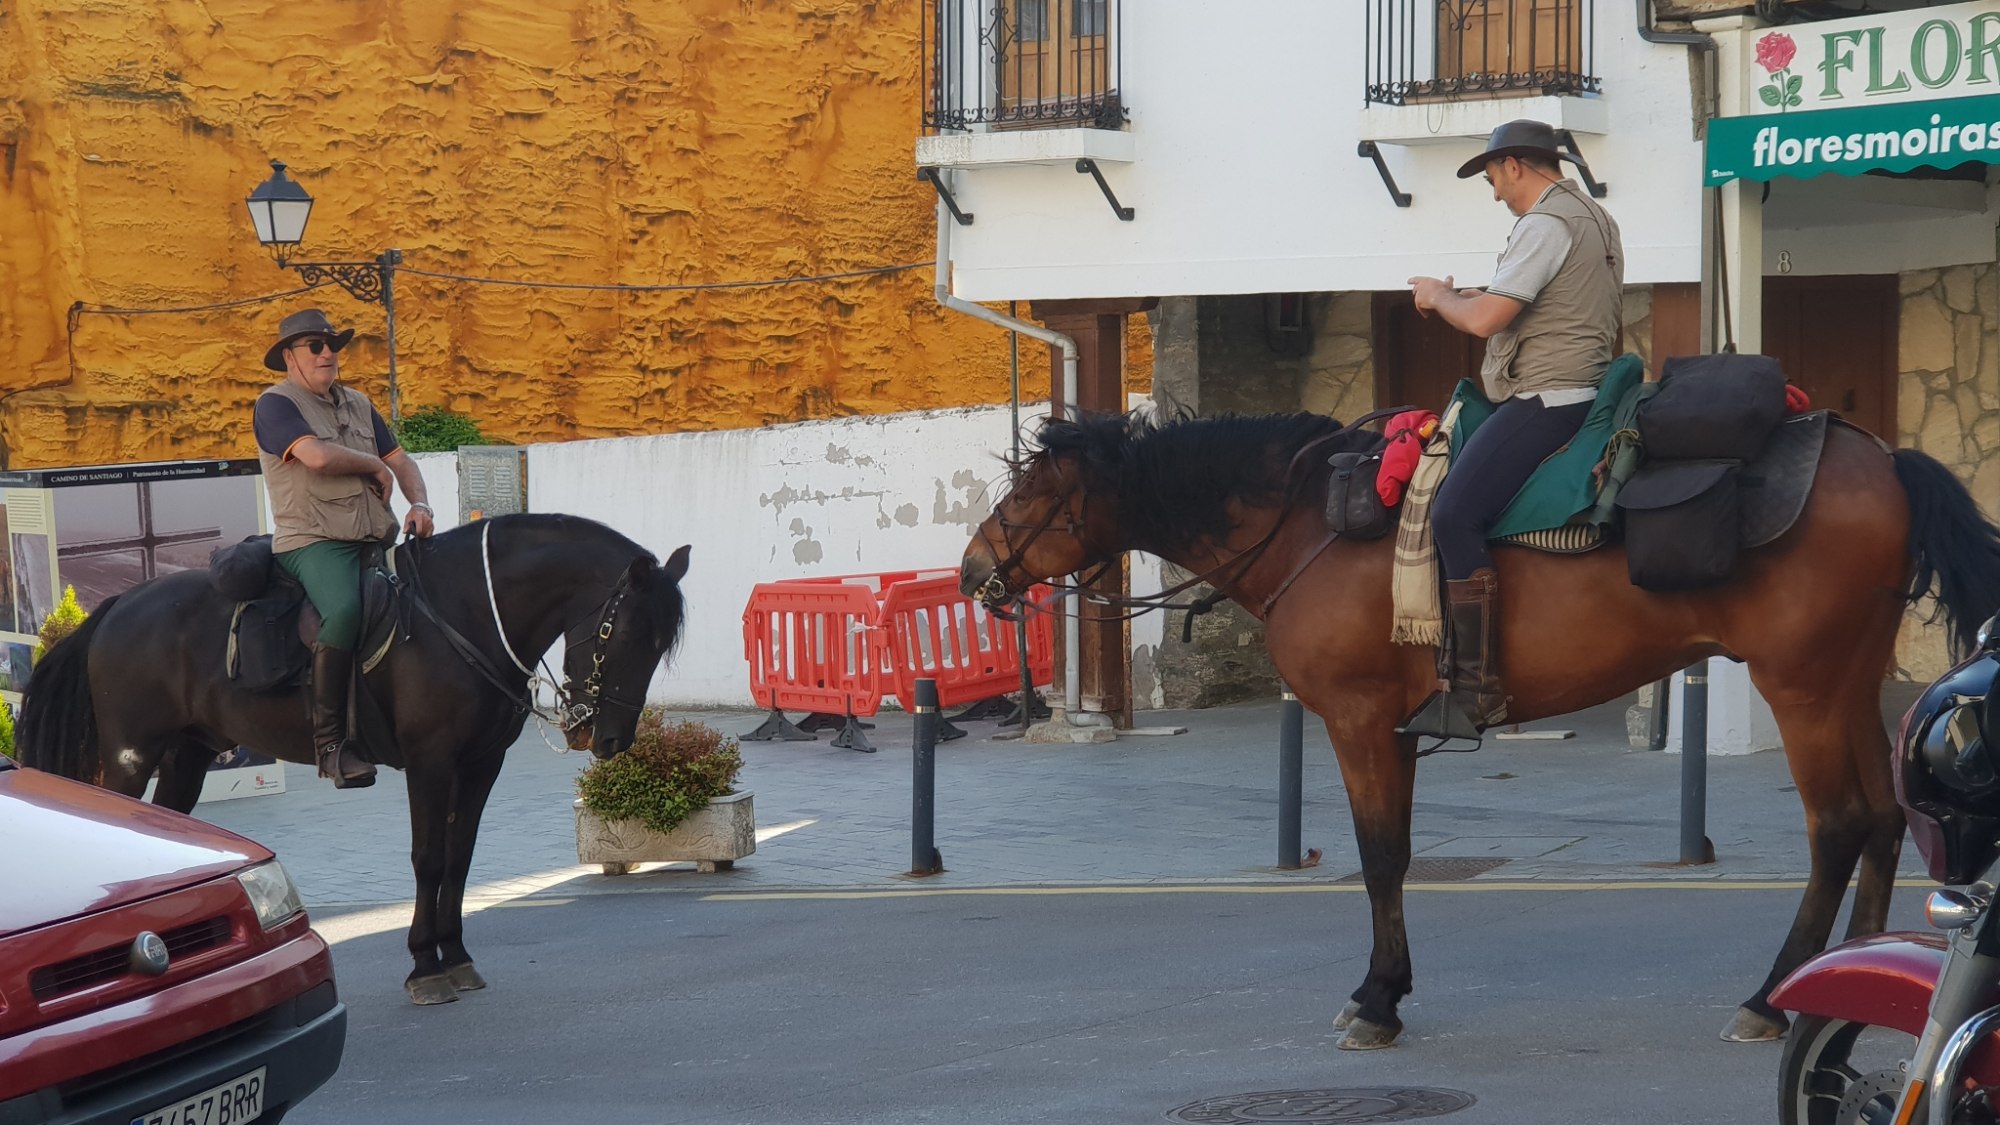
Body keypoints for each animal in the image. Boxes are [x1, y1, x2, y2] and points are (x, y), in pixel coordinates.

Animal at [18, 513, 691, 1006]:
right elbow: (428, 859)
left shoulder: (481, 765)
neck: (465, 613)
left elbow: (460, 859)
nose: (611, 739)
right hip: (130, 761)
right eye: (623, 634)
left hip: (186, 757)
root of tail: (118, 607)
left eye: (660, 645)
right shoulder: (430, 762)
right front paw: (425, 964)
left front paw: (456, 954)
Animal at [958, 409, 2000, 1050]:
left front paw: (1378, 999)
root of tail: (1876, 455)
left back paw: (1773, 994)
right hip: (1849, 677)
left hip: (1802, 685)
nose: (973, 571)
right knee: (1881, 821)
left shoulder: (1359, 720)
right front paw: (1385, 987)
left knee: (1838, 826)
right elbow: (1396, 851)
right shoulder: (1399, 728)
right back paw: (1846, 978)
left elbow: (1381, 855)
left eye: (1030, 495)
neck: (1308, 527)